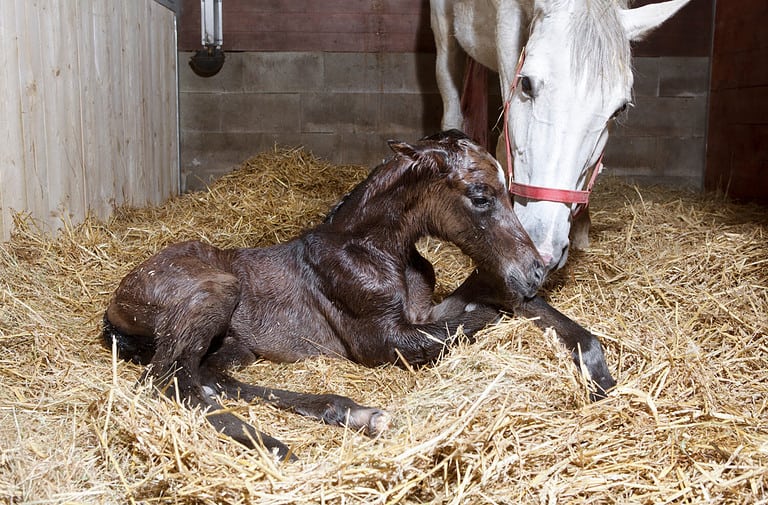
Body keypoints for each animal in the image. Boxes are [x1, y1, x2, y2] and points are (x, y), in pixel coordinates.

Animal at [103, 131, 616, 460]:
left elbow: (486, 303)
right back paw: (277, 445)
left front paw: (600, 376)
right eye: (480, 196)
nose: (535, 271)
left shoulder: (422, 311)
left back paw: (354, 414)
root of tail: (114, 304)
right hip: (216, 291)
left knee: (209, 378)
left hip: (235, 345)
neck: (374, 250)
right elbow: (469, 324)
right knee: (165, 380)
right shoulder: (381, 340)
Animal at [432, 0, 688, 272]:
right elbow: (504, 142)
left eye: (620, 109)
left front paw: (581, 230)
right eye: (526, 84)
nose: (543, 251)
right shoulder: (508, 27)